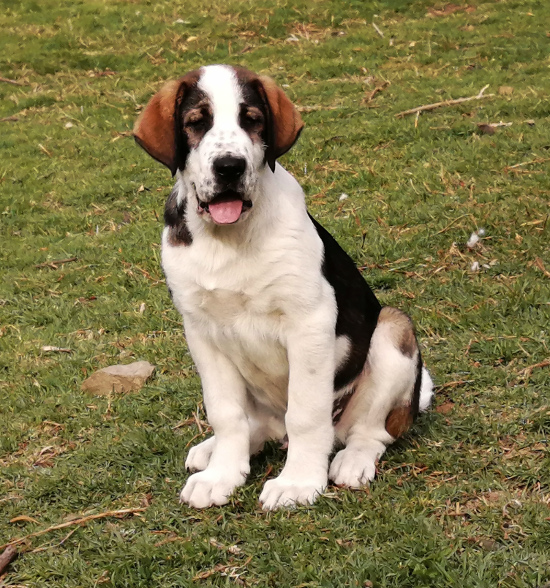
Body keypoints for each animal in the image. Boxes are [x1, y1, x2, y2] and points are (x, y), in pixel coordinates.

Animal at [135, 62, 436, 508]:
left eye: (251, 120)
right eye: (197, 123)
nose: (229, 167)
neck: (230, 238)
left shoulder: (308, 322)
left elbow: (306, 414)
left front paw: (297, 483)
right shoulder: (201, 331)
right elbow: (225, 413)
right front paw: (222, 475)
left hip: (392, 330)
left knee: (370, 432)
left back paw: (352, 460)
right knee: (254, 425)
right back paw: (214, 451)